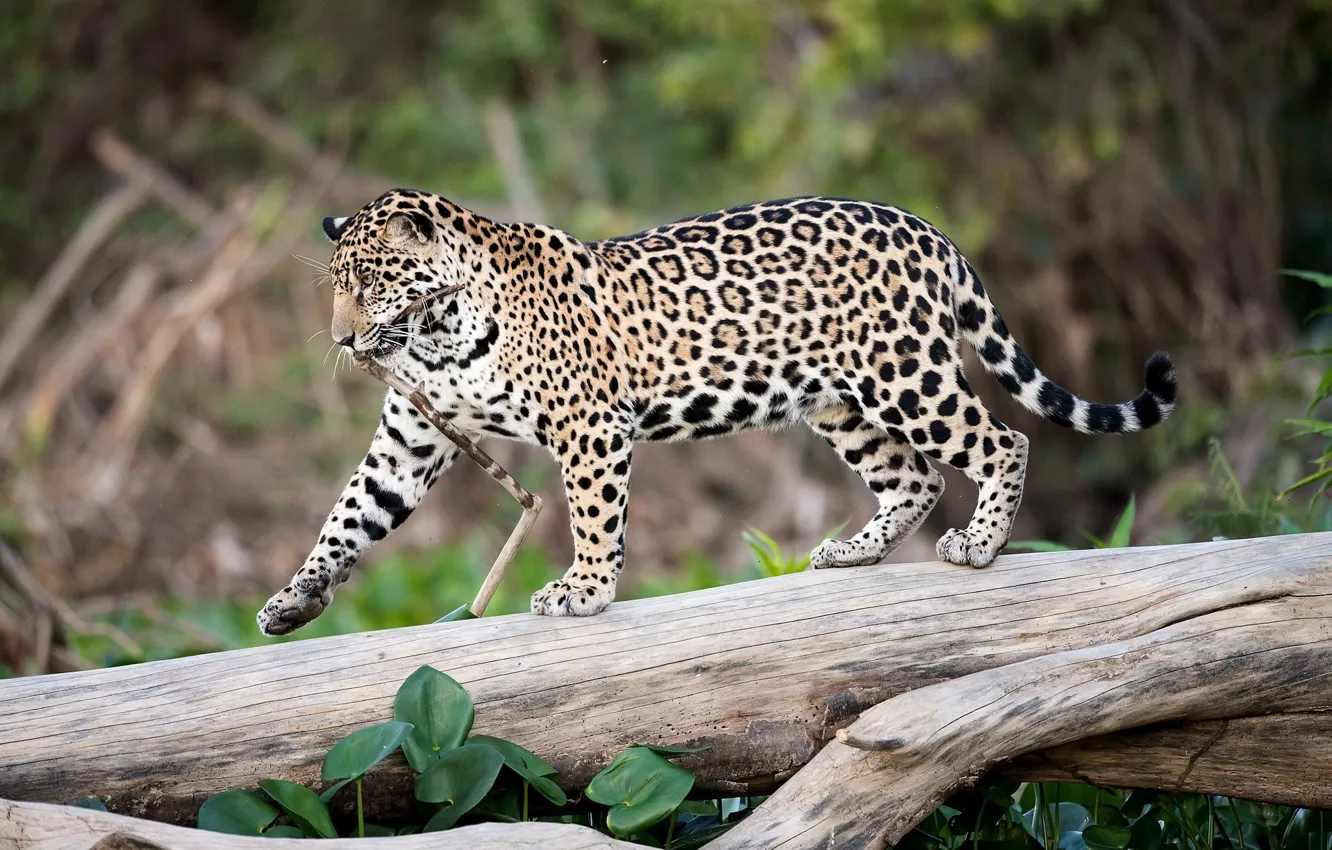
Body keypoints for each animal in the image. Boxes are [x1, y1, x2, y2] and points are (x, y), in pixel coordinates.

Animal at [256, 188, 1177, 636]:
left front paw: (584, 591)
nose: (342, 339)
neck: (441, 330)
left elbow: (595, 516)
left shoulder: (590, 426)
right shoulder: (410, 439)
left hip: (903, 373)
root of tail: (925, 228)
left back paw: (980, 546)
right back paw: (854, 552)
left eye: (369, 280)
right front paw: (293, 601)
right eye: (335, 284)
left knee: (1002, 439)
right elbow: (348, 518)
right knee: (913, 477)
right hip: (836, 399)